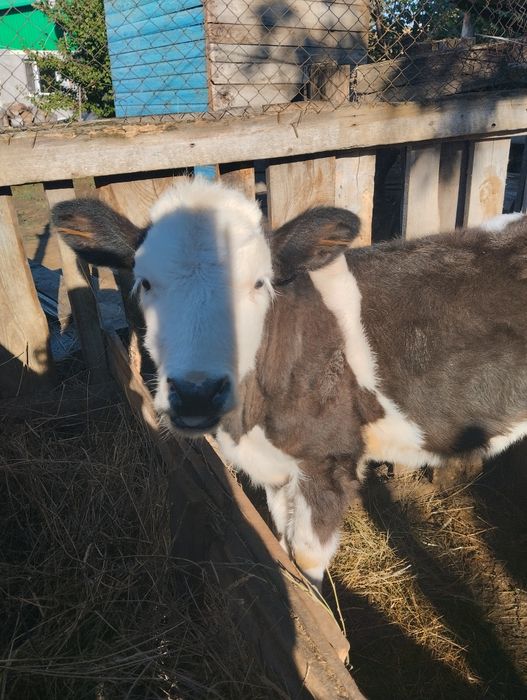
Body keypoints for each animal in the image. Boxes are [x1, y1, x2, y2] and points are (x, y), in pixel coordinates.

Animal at [51, 176, 527, 589]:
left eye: (259, 283)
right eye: (145, 281)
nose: (196, 393)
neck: (250, 425)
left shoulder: (329, 462)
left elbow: (305, 558)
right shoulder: (278, 471)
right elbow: (282, 544)